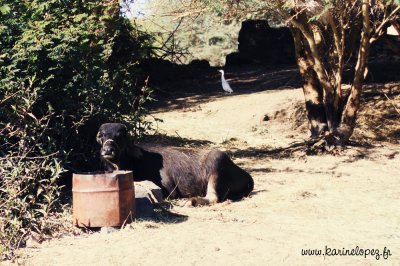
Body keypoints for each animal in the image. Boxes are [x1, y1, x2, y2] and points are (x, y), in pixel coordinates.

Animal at [96, 122, 253, 206]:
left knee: (213, 197)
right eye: (102, 135)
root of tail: (247, 176)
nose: (108, 150)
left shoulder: (170, 190)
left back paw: (191, 201)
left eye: (119, 136)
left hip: (217, 160)